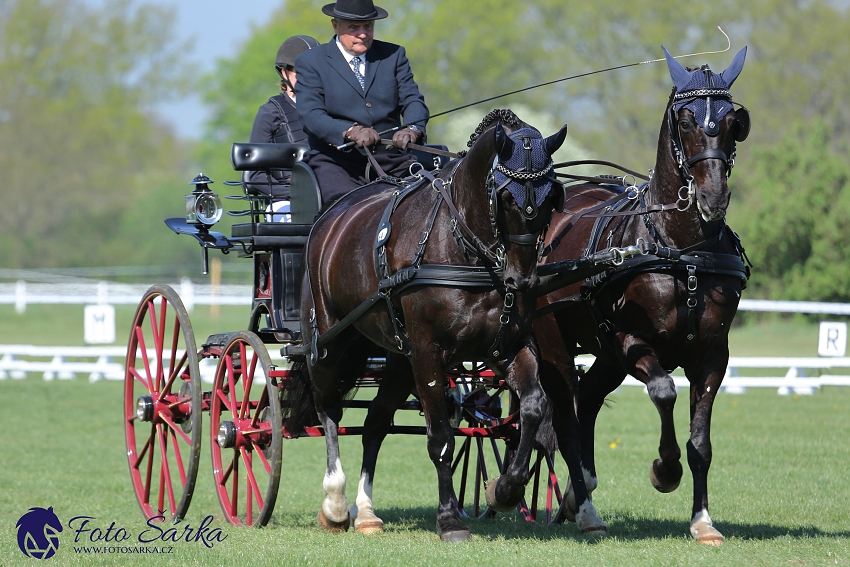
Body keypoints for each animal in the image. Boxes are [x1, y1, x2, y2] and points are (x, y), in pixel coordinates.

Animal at [282, 111, 608, 540]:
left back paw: (366, 512)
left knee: (374, 423)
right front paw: (450, 519)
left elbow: (534, 408)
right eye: (506, 196)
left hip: (398, 358)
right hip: (329, 343)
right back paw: (335, 503)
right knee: (328, 409)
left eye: (552, 196)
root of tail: (330, 220)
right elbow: (440, 438)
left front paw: (504, 489)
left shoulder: (511, 345)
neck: (464, 249)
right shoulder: (427, 352)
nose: (523, 280)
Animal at [536, 46, 748, 544]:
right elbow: (665, 390)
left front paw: (703, 521)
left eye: (735, 121)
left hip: (606, 356)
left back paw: (579, 491)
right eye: (685, 120)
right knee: (566, 414)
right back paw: (585, 509)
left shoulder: (713, 354)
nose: (713, 197)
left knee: (588, 398)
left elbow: (700, 442)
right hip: (555, 340)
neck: (681, 251)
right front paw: (664, 470)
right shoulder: (631, 342)